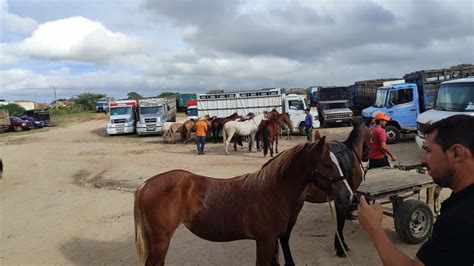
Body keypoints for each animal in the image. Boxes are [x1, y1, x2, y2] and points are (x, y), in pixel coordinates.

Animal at [135, 138, 354, 264]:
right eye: (327, 165)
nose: (348, 196)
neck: (272, 192)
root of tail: (145, 185)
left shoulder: (271, 240)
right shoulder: (265, 241)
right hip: (161, 241)